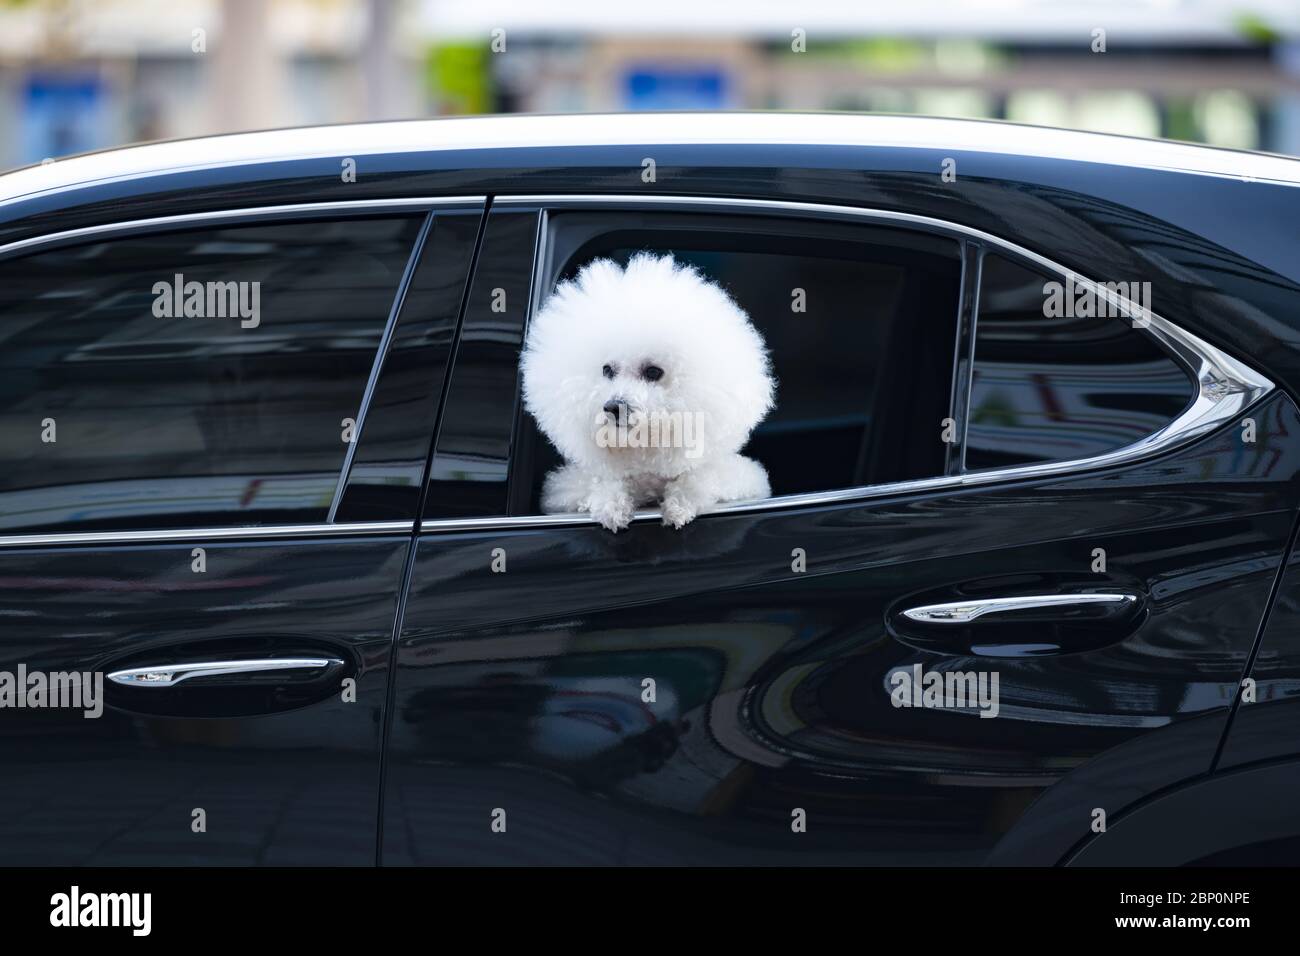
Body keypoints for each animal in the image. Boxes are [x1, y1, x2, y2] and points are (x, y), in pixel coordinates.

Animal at [522, 252, 774, 530]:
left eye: (653, 372)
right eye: (607, 370)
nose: (612, 407)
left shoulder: (743, 478)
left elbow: (701, 477)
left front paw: (679, 503)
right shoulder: (565, 489)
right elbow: (603, 482)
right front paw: (612, 504)